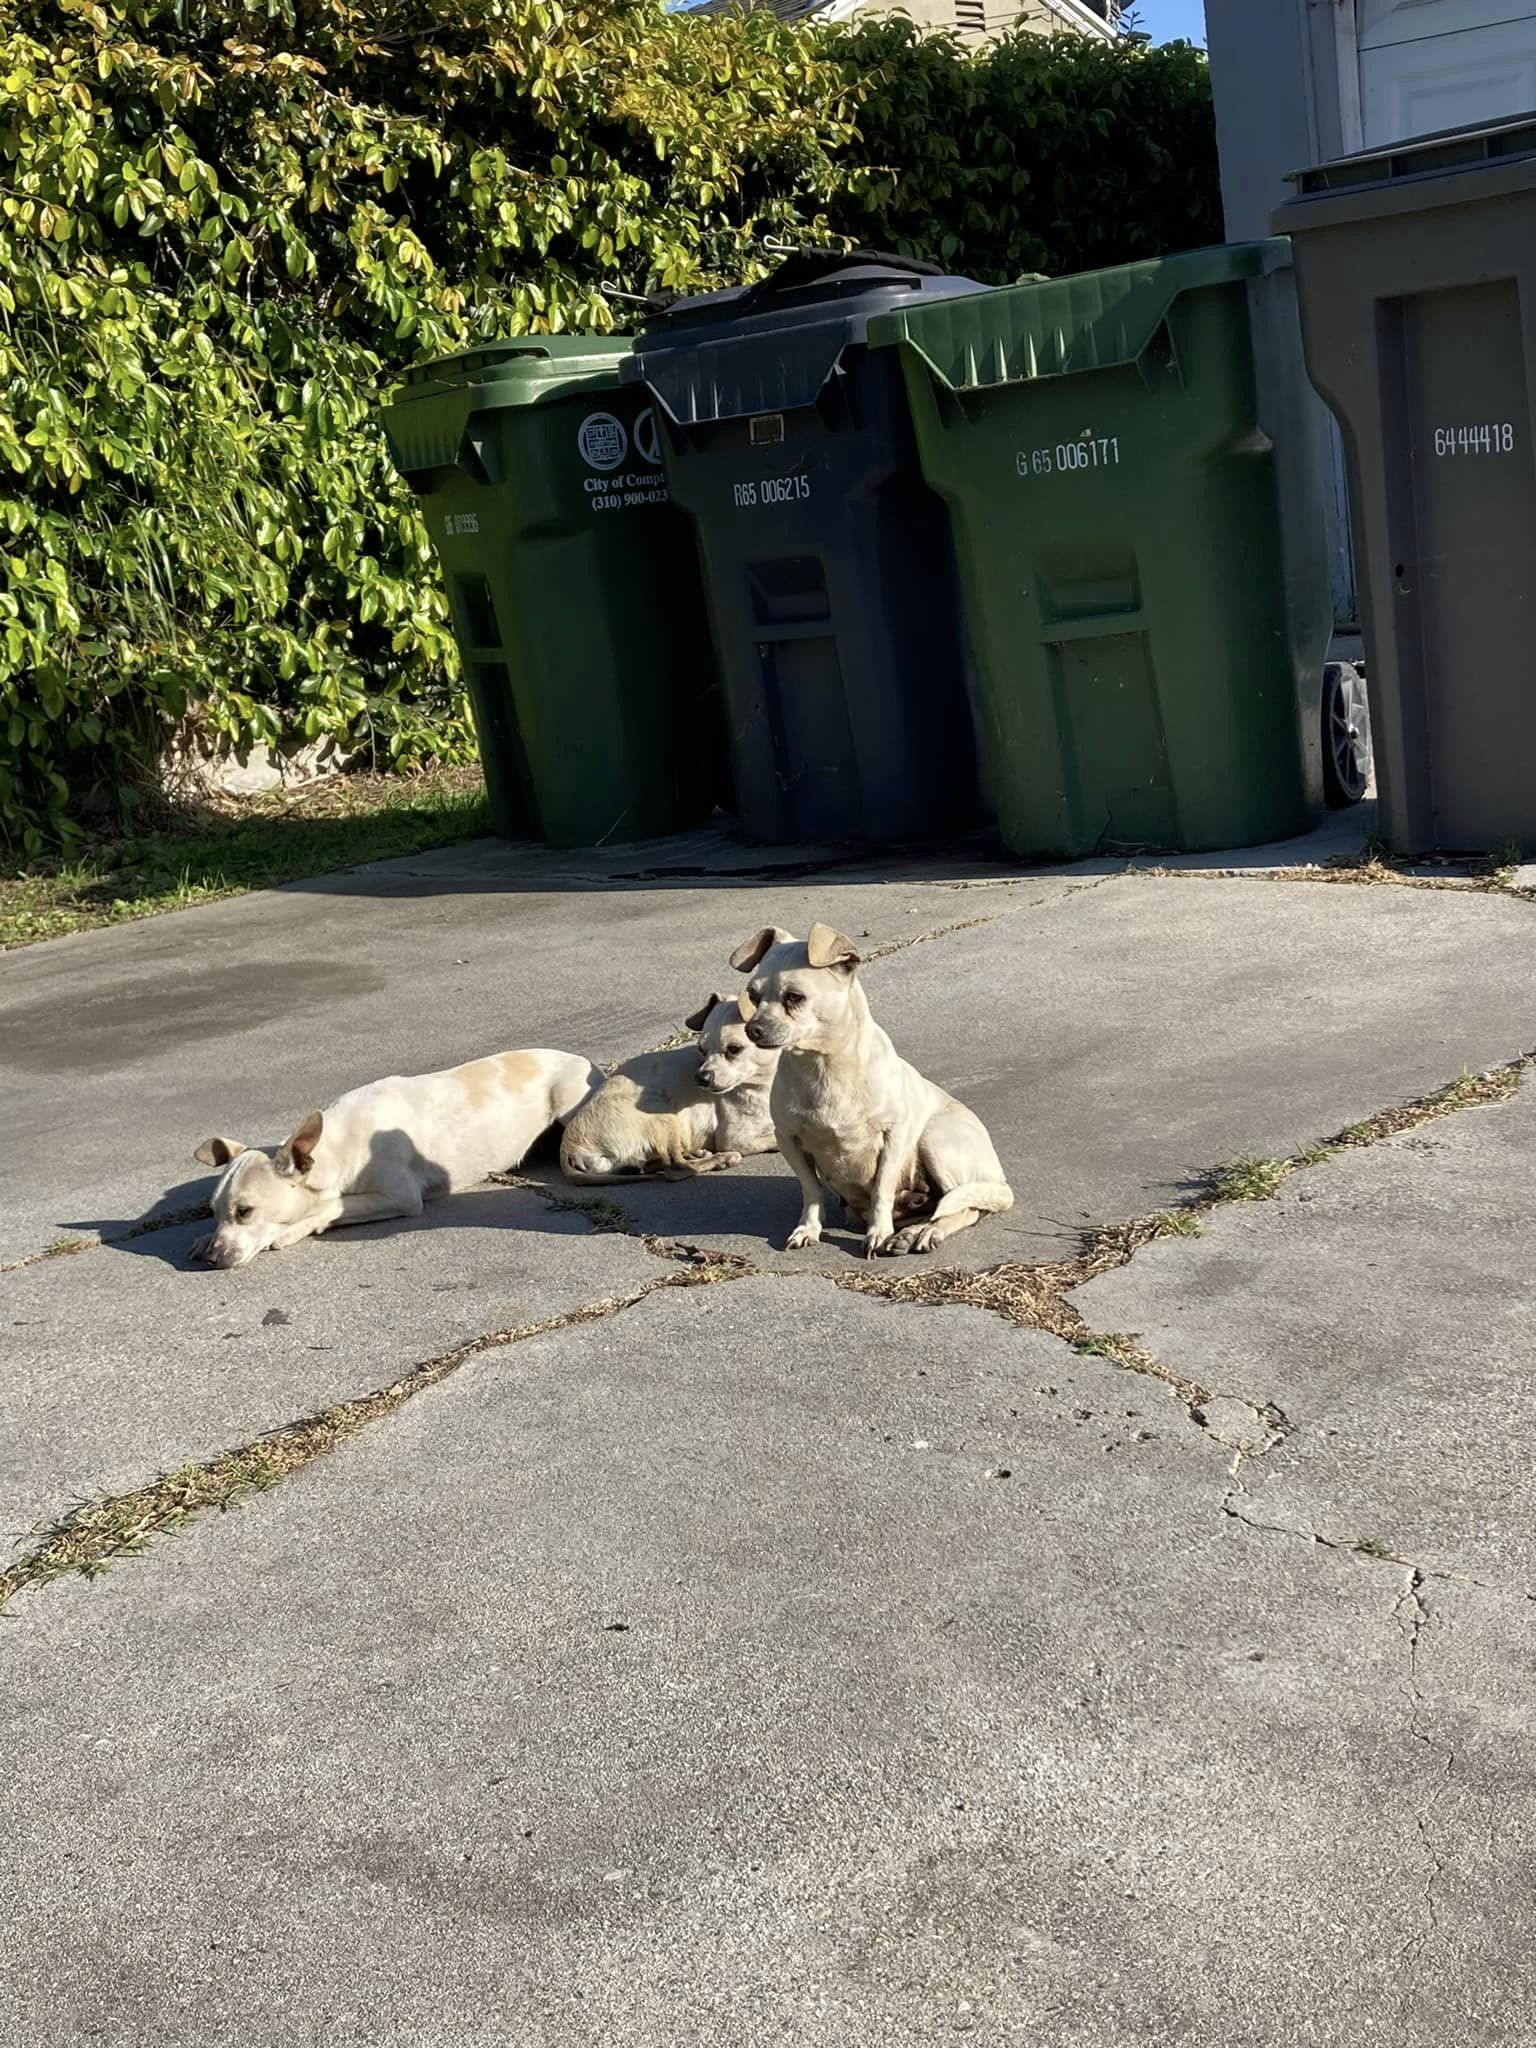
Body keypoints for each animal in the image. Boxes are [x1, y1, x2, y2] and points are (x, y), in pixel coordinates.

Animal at [192, 1056, 602, 1261]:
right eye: (214, 1212)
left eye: (245, 1211)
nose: (213, 1257)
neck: (336, 1145)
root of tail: (586, 1060)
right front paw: (203, 1238)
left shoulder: (401, 1197)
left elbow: (331, 1206)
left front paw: (291, 1230)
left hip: (568, 1104)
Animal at [561, 995, 782, 1187]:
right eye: (702, 1050)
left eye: (734, 1049)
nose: (701, 1078)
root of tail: (570, 1148)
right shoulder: (736, 1139)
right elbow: (774, 1137)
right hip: (661, 1113)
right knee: (675, 1170)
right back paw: (721, 1159)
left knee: (656, 1163)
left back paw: (693, 1154)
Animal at [729, 925, 1015, 1245]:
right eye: (753, 997)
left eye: (794, 997)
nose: (752, 1029)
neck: (824, 1068)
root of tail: (1000, 1180)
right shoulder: (787, 1139)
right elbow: (811, 1190)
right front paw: (809, 1228)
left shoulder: (894, 1138)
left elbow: (881, 1189)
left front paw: (878, 1232)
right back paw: (910, 1229)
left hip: (934, 1140)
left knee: (964, 1206)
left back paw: (926, 1232)